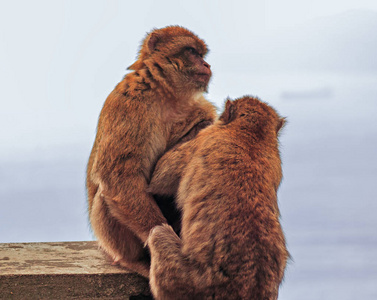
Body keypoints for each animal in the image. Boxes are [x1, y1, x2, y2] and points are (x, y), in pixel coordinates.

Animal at [84, 26, 216, 278]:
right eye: (192, 51)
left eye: (202, 54)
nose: (207, 64)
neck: (167, 95)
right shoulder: (129, 104)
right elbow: (119, 177)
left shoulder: (200, 106)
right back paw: (134, 261)